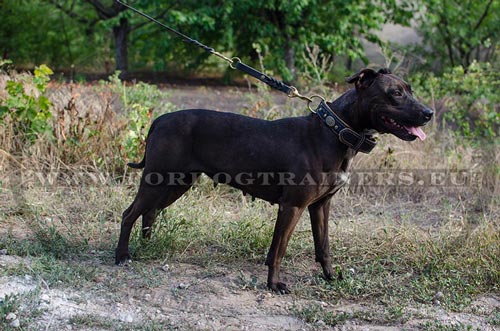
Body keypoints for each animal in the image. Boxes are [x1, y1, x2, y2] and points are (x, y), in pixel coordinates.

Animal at [115, 68, 432, 294]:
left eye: (410, 90)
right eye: (395, 93)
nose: (429, 113)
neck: (334, 131)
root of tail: (159, 120)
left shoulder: (320, 206)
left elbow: (323, 247)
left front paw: (331, 277)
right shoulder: (292, 206)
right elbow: (280, 248)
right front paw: (274, 284)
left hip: (176, 183)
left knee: (150, 212)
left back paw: (148, 247)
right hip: (157, 181)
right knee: (129, 213)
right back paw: (122, 256)